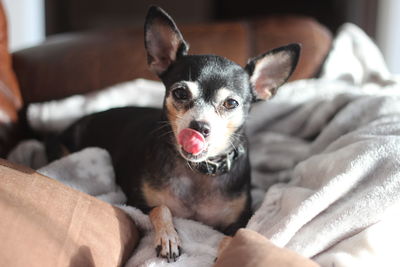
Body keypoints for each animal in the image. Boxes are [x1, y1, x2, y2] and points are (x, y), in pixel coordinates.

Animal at [54, 5, 300, 262]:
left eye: (231, 103)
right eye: (181, 93)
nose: (199, 127)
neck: (198, 171)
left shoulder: (240, 220)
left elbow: (236, 236)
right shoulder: (135, 202)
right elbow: (161, 208)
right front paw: (168, 237)